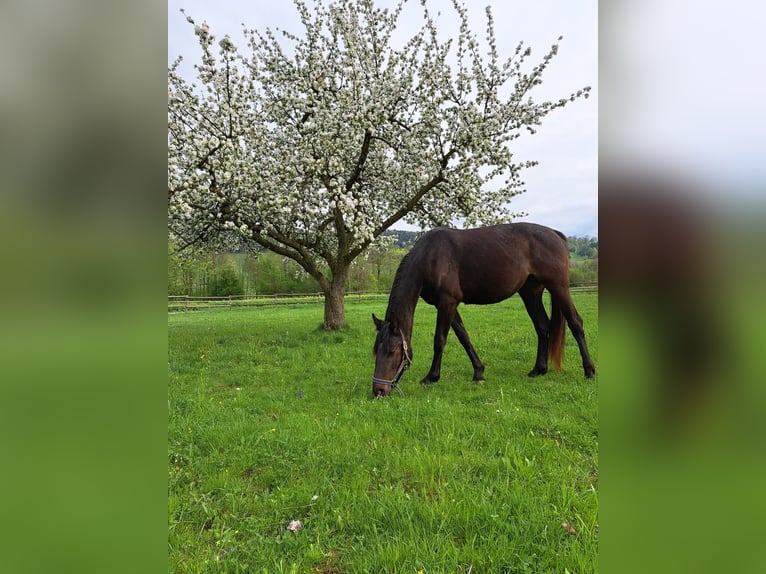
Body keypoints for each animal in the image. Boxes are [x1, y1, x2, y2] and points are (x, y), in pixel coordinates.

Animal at [376, 223, 596, 398]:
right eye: (375, 350)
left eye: (392, 351)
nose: (378, 391)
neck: (431, 256)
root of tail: (555, 234)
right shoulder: (448, 305)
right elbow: (464, 337)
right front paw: (479, 372)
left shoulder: (447, 302)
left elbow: (440, 340)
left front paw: (431, 377)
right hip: (530, 293)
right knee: (543, 327)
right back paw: (538, 370)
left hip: (558, 287)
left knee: (576, 323)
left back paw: (589, 371)